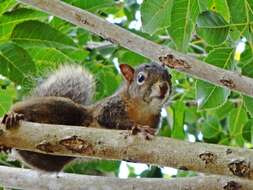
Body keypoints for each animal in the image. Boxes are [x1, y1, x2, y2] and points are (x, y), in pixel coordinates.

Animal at [0, 61, 171, 171]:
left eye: (169, 76)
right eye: (141, 78)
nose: (164, 87)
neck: (143, 108)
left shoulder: (155, 120)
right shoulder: (110, 107)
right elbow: (110, 119)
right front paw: (138, 127)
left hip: (52, 159)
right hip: (62, 107)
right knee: (23, 108)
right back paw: (14, 115)